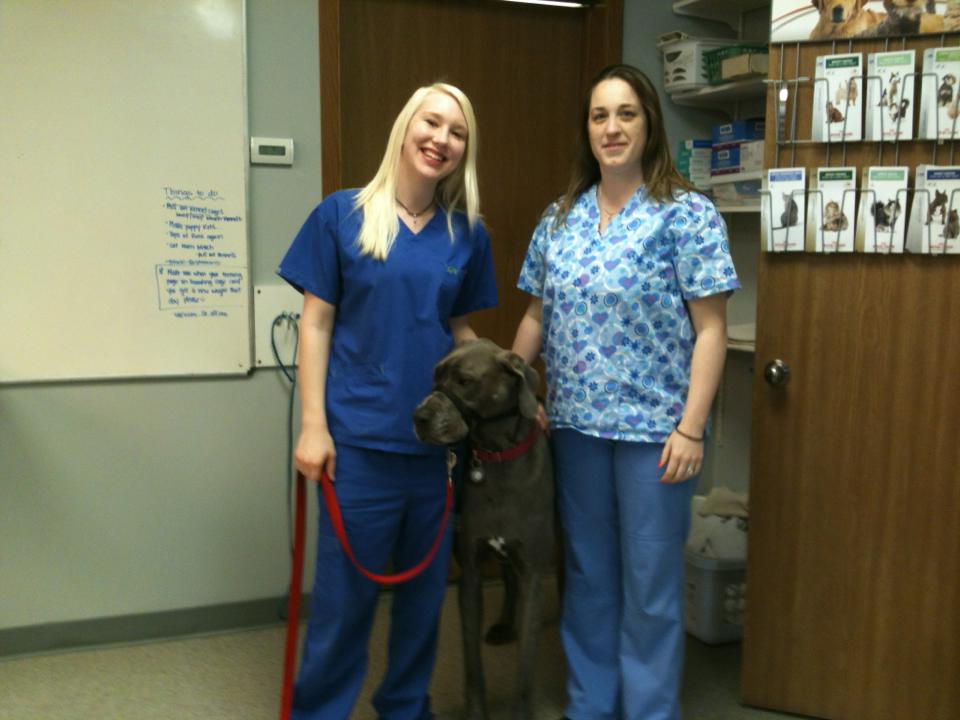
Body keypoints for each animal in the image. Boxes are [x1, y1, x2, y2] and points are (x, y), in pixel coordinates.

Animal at [412, 338, 556, 720]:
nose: (419, 417)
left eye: (464, 381)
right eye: (435, 377)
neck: (497, 456)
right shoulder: (471, 573)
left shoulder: (533, 572)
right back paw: (504, 624)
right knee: (507, 580)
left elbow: (526, 664)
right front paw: (476, 711)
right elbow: (472, 662)